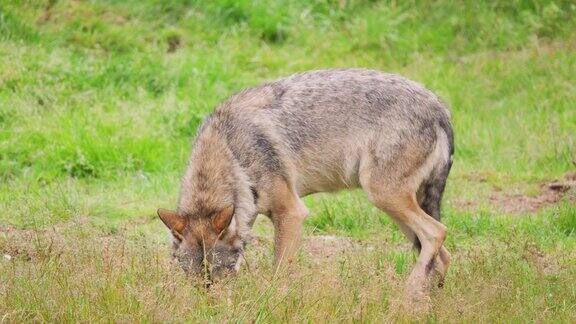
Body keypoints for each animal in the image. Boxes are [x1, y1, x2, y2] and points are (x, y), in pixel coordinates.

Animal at [159, 68, 454, 298]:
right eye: (198, 282)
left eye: (219, 275)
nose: (211, 306)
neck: (233, 153)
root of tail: (440, 108)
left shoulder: (291, 212)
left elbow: (278, 271)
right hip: (396, 210)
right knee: (442, 255)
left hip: (383, 196)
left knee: (437, 232)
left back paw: (408, 293)